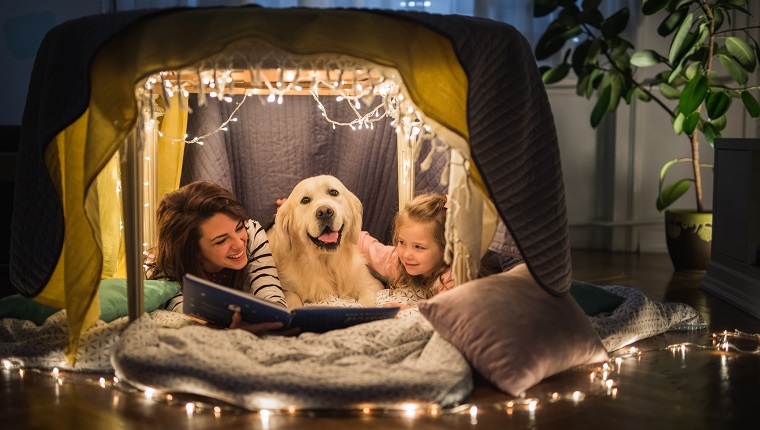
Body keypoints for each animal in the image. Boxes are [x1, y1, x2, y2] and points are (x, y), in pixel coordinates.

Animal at [268, 175, 386, 310]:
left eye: (333, 192)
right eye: (305, 200)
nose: (324, 212)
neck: (325, 265)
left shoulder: (372, 283)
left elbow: (367, 297)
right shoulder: (285, 287)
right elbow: (292, 298)